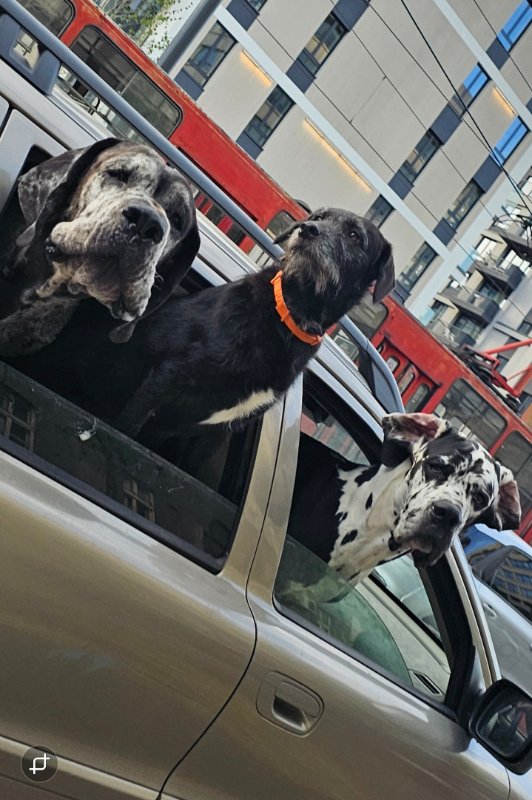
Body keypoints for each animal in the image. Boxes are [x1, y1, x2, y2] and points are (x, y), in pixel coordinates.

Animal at [8, 207, 395, 448]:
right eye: (318, 217)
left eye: (354, 235)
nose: (308, 230)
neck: (288, 314)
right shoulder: (165, 378)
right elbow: (123, 429)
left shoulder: (198, 430)